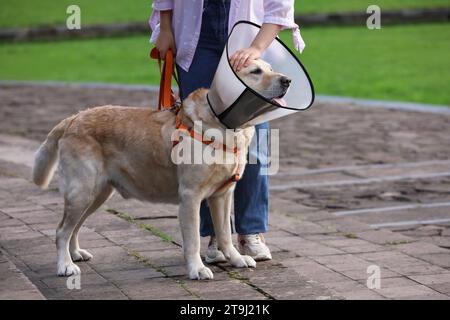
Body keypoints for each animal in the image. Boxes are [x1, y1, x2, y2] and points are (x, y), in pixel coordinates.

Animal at [32, 58, 292, 278]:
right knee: (61, 231)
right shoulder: (190, 197)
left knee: (74, 228)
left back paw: (75, 254)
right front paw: (197, 269)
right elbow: (193, 240)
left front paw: (237, 259)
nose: (287, 80)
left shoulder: (222, 195)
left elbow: (226, 234)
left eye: (270, 68)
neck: (225, 125)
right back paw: (65, 266)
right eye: (255, 71)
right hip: (83, 191)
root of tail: (73, 119)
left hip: (98, 194)